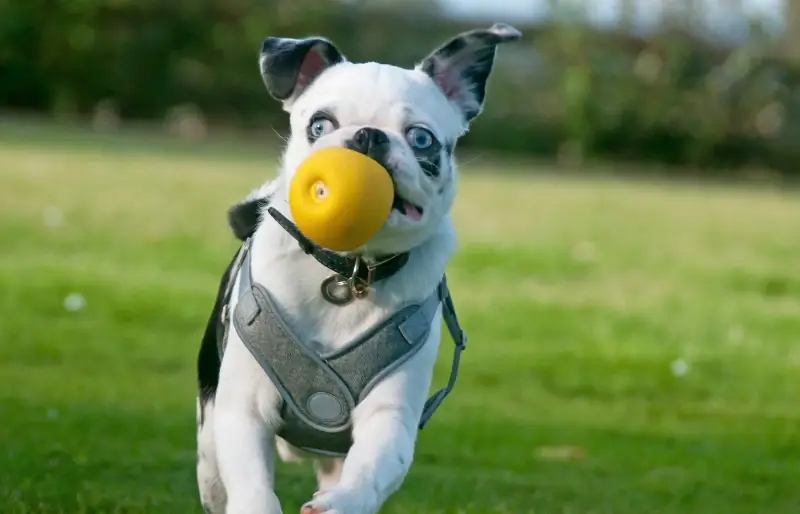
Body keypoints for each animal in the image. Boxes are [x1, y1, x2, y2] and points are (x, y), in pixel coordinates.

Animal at [196, 22, 520, 510]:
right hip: (210, 447)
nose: (368, 135)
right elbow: (252, 484)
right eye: (319, 124)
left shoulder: (390, 416)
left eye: (421, 139)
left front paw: (342, 502)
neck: (346, 273)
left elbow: (371, 468)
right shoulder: (243, 410)